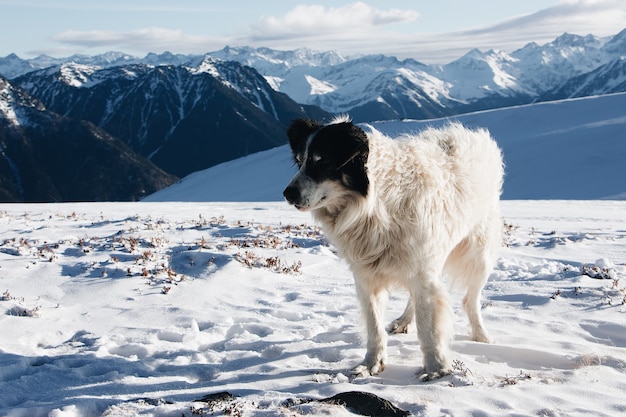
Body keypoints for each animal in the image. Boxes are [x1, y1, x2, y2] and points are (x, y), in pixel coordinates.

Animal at [282, 116, 502, 380]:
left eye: (322, 160)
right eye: (299, 161)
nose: (287, 193)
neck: (373, 206)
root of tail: (474, 135)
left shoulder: (422, 269)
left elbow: (429, 327)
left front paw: (436, 368)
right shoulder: (367, 276)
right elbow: (375, 326)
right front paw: (371, 364)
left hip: (479, 254)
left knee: (470, 299)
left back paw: (481, 335)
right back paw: (405, 320)